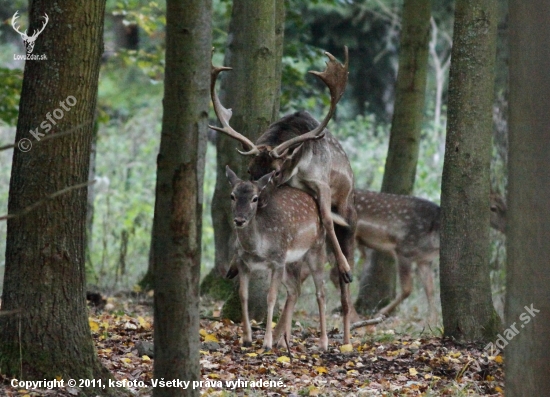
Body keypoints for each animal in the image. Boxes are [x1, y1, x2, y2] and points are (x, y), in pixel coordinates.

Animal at [225, 166, 332, 348]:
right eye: (232, 195)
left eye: (255, 198)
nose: (239, 220)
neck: (257, 248)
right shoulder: (243, 262)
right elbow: (243, 295)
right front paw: (246, 338)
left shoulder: (277, 260)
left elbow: (271, 297)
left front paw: (266, 342)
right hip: (290, 262)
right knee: (295, 289)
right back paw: (283, 341)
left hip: (316, 248)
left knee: (321, 292)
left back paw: (323, 343)